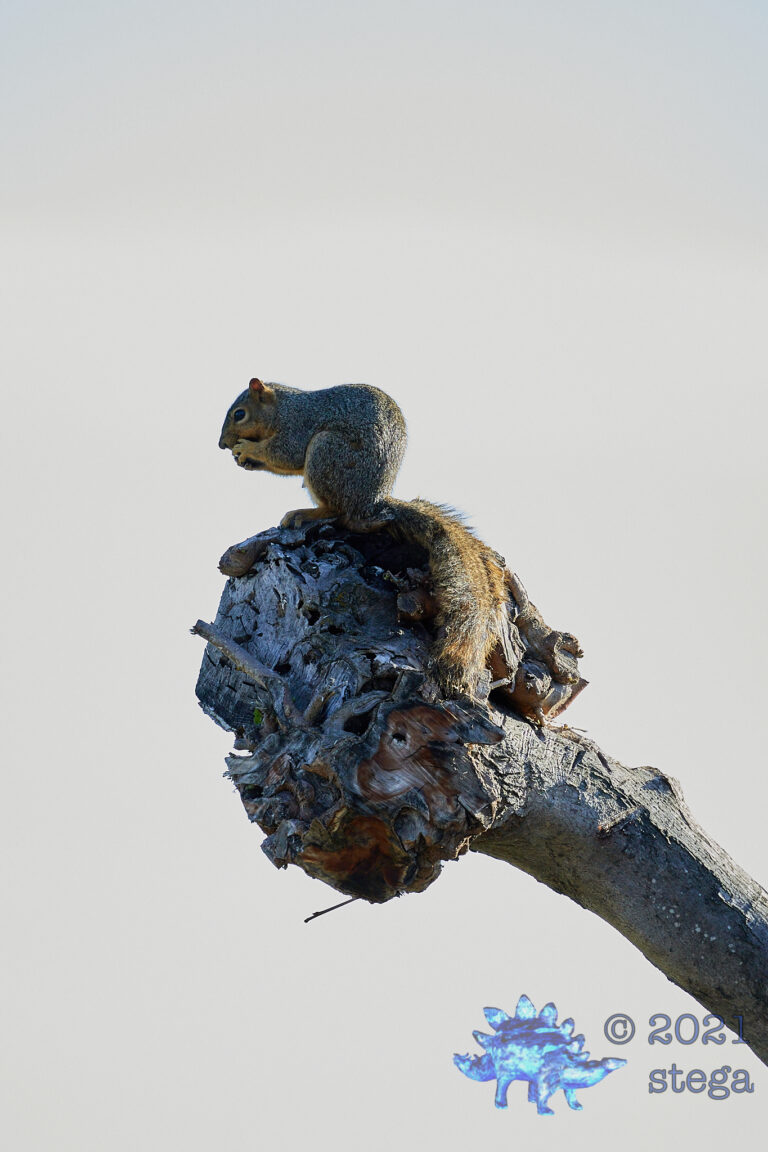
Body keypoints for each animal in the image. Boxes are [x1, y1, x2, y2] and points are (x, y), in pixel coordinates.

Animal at [218, 378, 508, 697]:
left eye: (239, 414)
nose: (222, 444)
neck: (282, 408)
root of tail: (373, 504)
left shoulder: (298, 426)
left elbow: (286, 453)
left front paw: (248, 450)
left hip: (327, 452)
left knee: (339, 513)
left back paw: (306, 513)